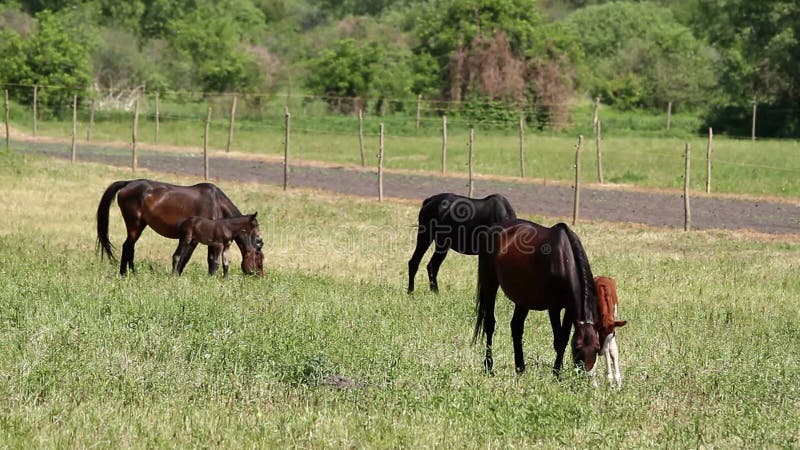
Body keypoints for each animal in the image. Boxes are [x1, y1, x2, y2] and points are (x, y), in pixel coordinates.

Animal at [95, 178, 260, 274]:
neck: (216, 202)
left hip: (140, 225)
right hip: (134, 225)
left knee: (130, 247)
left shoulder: (197, 239)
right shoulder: (208, 240)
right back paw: (125, 273)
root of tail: (128, 183)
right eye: (259, 257)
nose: (257, 275)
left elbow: (187, 258)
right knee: (127, 246)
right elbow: (210, 260)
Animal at [476, 220, 600, 378]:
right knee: (489, 324)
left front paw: (558, 372)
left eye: (597, 347)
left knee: (516, 327)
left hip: (523, 297)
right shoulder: (554, 308)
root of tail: (493, 228)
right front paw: (556, 373)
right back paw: (489, 366)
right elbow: (559, 340)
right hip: (490, 284)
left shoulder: (569, 308)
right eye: (577, 347)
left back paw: (520, 368)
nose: (584, 376)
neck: (563, 259)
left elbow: (564, 338)